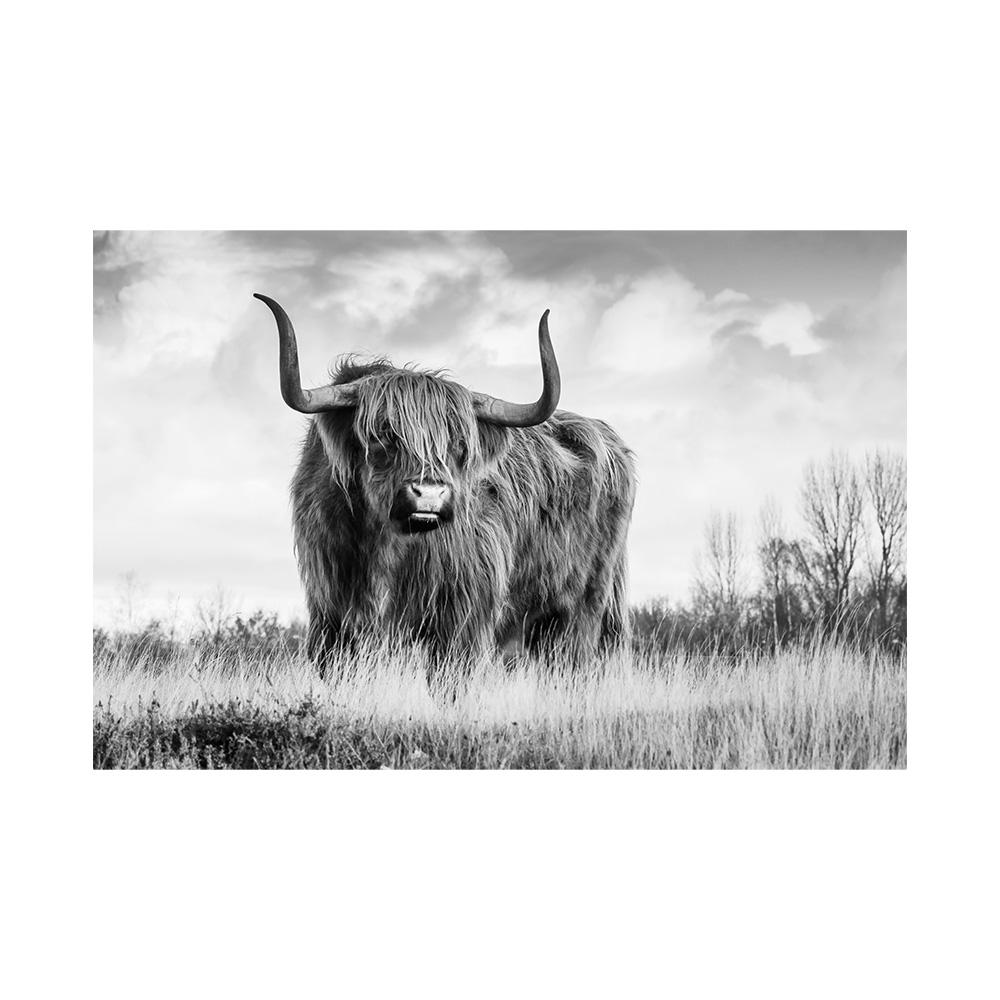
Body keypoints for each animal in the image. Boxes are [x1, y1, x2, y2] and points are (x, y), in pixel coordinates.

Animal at [254, 293, 636, 672]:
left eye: (459, 444)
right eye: (382, 435)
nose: (429, 494)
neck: (386, 547)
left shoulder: (463, 616)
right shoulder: (331, 614)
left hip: (582, 609)